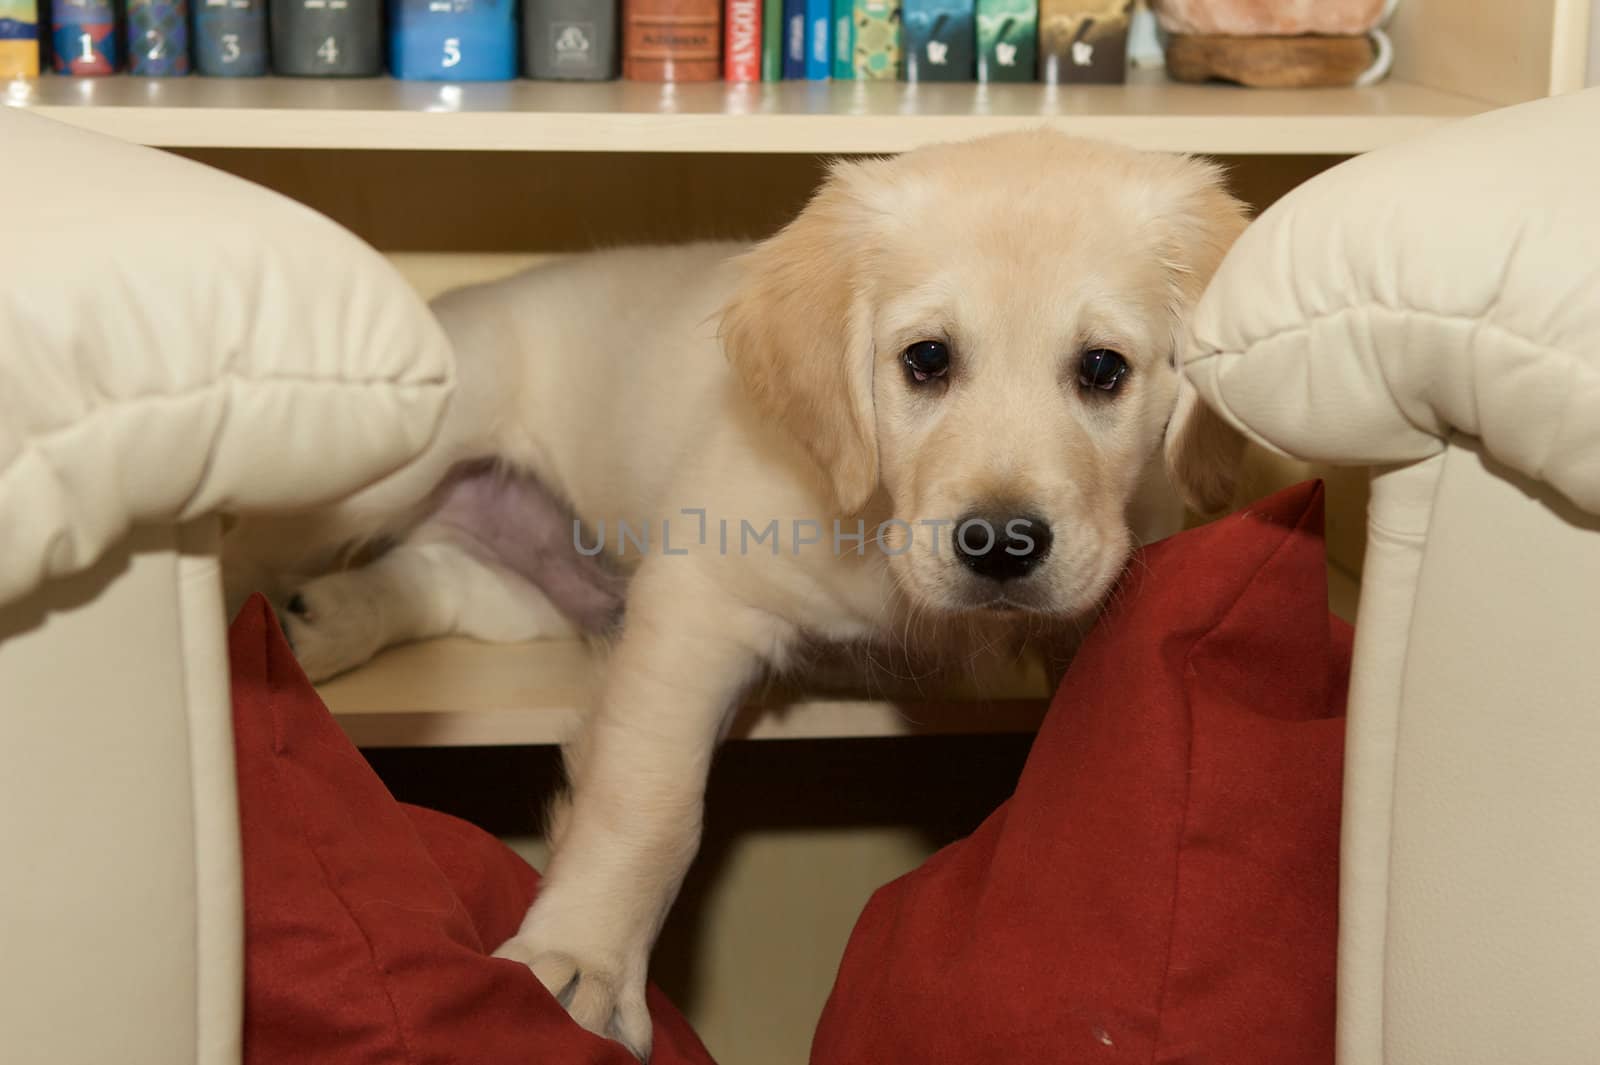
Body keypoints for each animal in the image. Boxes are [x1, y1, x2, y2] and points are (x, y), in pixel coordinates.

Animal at [225, 130, 1248, 1055]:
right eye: (926, 359)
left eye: (1104, 369)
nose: (1002, 545)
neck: (876, 525)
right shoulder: (702, 596)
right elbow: (649, 801)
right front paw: (580, 960)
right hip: (395, 463)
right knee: (257, 531)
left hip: (513, 591)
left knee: (432, 573)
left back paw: (323, 620)